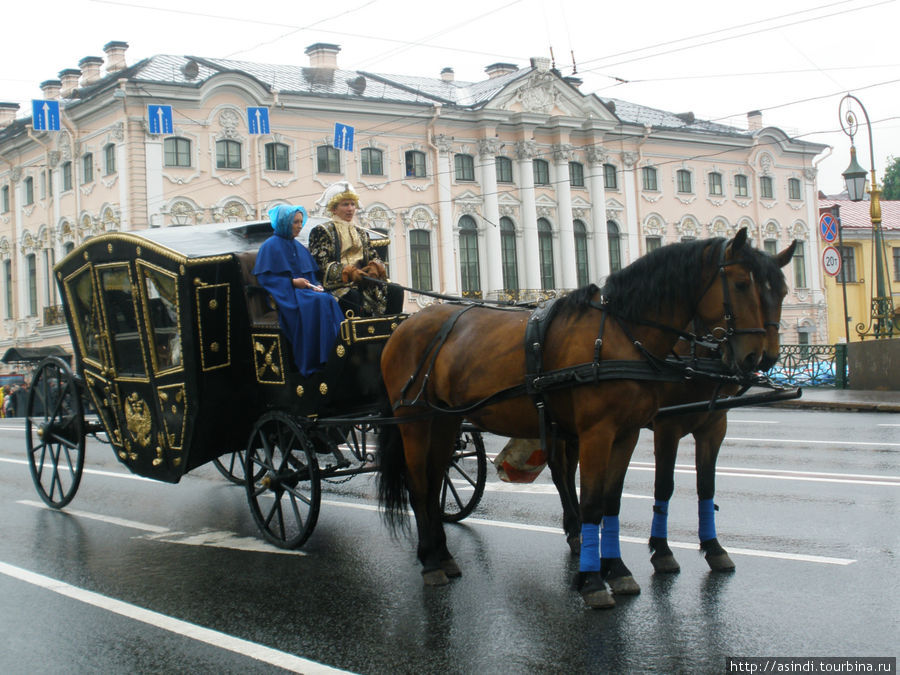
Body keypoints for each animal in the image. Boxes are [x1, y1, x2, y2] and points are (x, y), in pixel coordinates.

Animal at [376, 230, 764, 608]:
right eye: (742, 284)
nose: (756, 357)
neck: (619, 335)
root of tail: (403, 328)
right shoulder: (610, 432)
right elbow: (601, 499)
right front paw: (595, 579)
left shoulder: (640, 432)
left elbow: (619, 498)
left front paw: (620, 568)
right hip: (413, 420)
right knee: (418, 484)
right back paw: (430, 562)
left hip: (446, 421)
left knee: (438, 481)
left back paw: (446, 556)